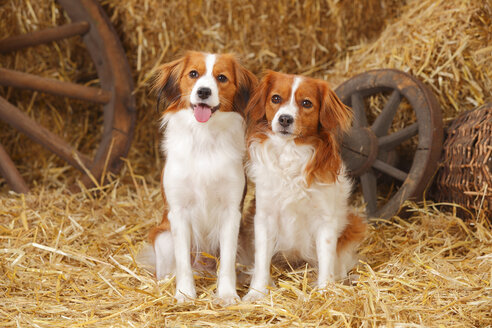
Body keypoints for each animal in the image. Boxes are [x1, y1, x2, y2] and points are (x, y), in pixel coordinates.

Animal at [141, 51, 258, 304]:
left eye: (221, 78)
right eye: (193, 74)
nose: (204, 91)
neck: (204, 138)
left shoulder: (231, 212)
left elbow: (227, 263)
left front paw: (227, 295)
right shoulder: (179, 212)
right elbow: (183, 262)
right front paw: (184, 294)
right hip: (163, 237)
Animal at [242, 70, 366, 302]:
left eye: (307, 103)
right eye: (275, 98)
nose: (284, 118)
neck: (290, 151)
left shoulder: (325, 220)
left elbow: (327, 259)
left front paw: (326, 291)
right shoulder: (264, 218)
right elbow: (261, 260)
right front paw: (256, 293)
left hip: (353, 224)